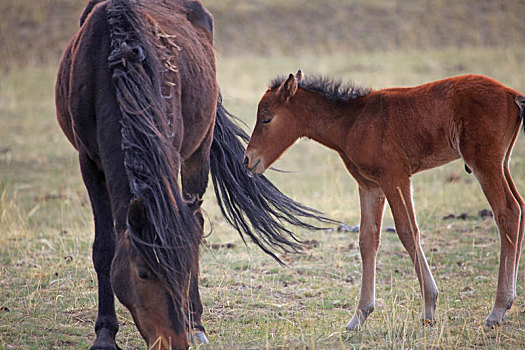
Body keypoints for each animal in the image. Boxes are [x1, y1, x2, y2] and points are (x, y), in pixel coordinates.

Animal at [55, 2, 330, 350]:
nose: (175, 341)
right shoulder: (88, 162)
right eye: (143, 272)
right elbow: (103, 248)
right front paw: (104, 334)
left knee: (196, 220)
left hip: (199, 149)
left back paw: (196, 323)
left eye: (183, 270)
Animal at [246, 70, 524, 330]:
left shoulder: (395, 177)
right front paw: (359, 316)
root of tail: (512, 94)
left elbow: (407, 231)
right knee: (519, 207)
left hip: (484, 163)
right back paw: (508, 301)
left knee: (507, 211)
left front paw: (428, 308)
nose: (248, 159)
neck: (353, 121)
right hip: (502, 162)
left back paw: (498, 309)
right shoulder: (370, 187)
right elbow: (367, 240)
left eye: (267, 118)